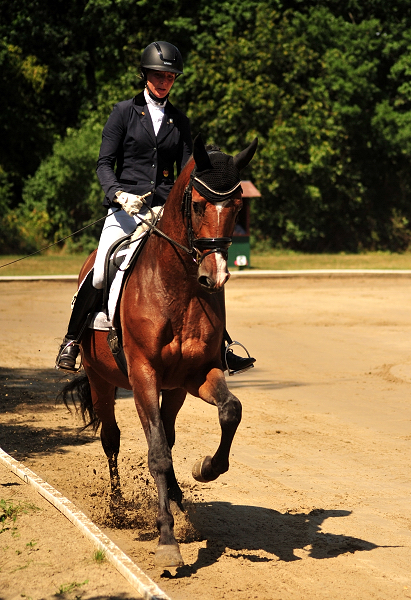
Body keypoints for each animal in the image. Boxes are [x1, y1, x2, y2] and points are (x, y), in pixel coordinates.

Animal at [61, 135, 258, 568]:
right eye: (198, 204)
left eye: (237, 207)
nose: (215, 276)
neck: (178, 287)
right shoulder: (143, 375)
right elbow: (156, 455)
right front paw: (167, 541)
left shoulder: (197, 374)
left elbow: (230, 411)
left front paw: (206, 469)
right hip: (102, 380)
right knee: (112, 438)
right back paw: (118, 508)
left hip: (176, 390)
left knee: (167, 433)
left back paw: (181, 501)